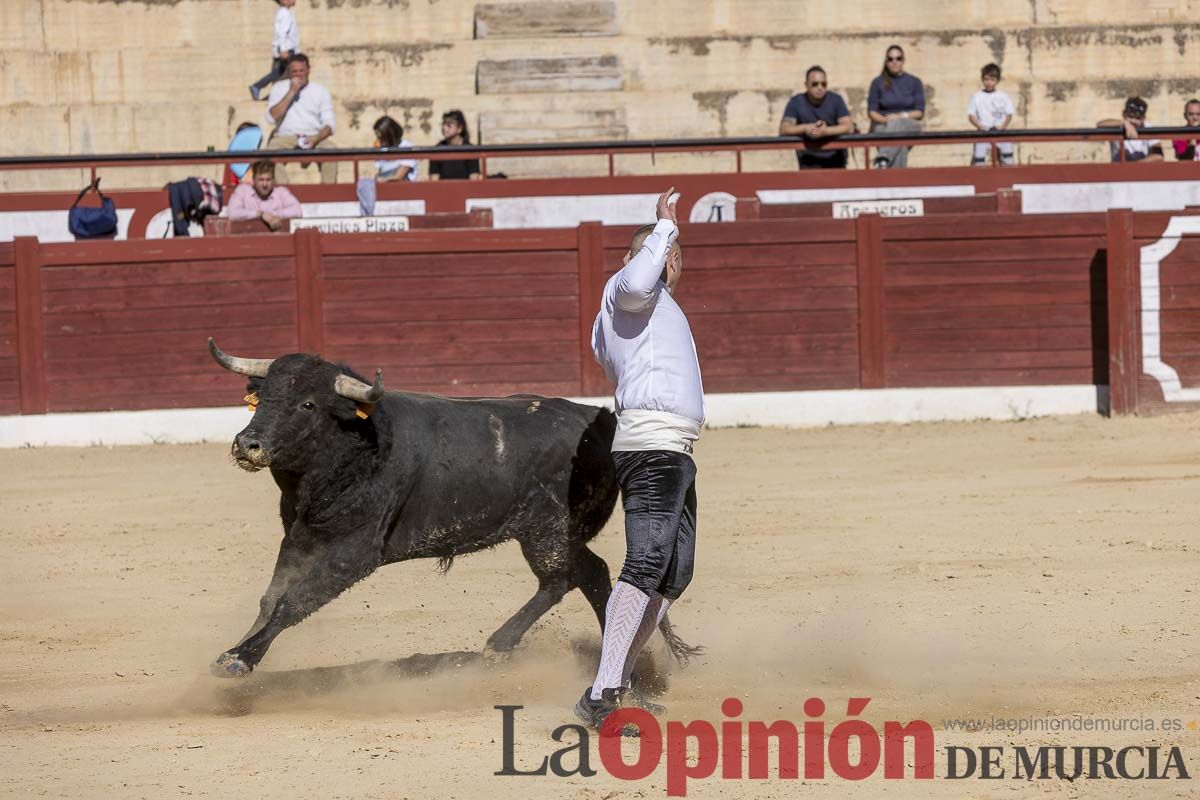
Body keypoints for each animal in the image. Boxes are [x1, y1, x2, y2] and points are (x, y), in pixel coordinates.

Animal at [206, 340, 696, 681]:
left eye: (308, 403)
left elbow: (295, 601)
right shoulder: (300, 536)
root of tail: (603, 421)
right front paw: (239, 648)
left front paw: (240, 659)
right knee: (592, 573)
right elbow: (272, 598)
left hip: (546, 531)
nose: (248, 445)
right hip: (559, 533)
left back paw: (500, 645)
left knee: (559, 580)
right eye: (262, 397)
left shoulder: (353, 555)